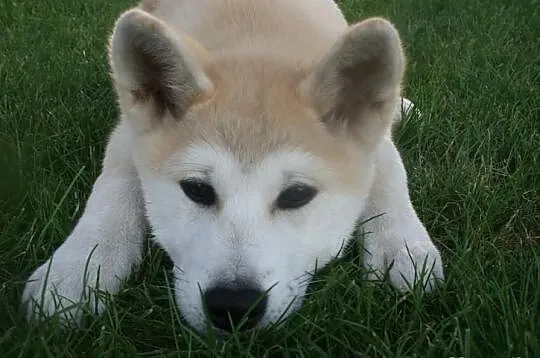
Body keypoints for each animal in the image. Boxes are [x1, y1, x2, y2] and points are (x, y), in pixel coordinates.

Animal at [22, 0, 442, 332]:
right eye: (196, 189)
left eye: (296, 195)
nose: (234, 305)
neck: (257, 42)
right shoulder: (129, 132)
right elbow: (112, 191)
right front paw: (78, 268)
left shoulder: (375, 141)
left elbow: (391, 176)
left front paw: (402, 244)